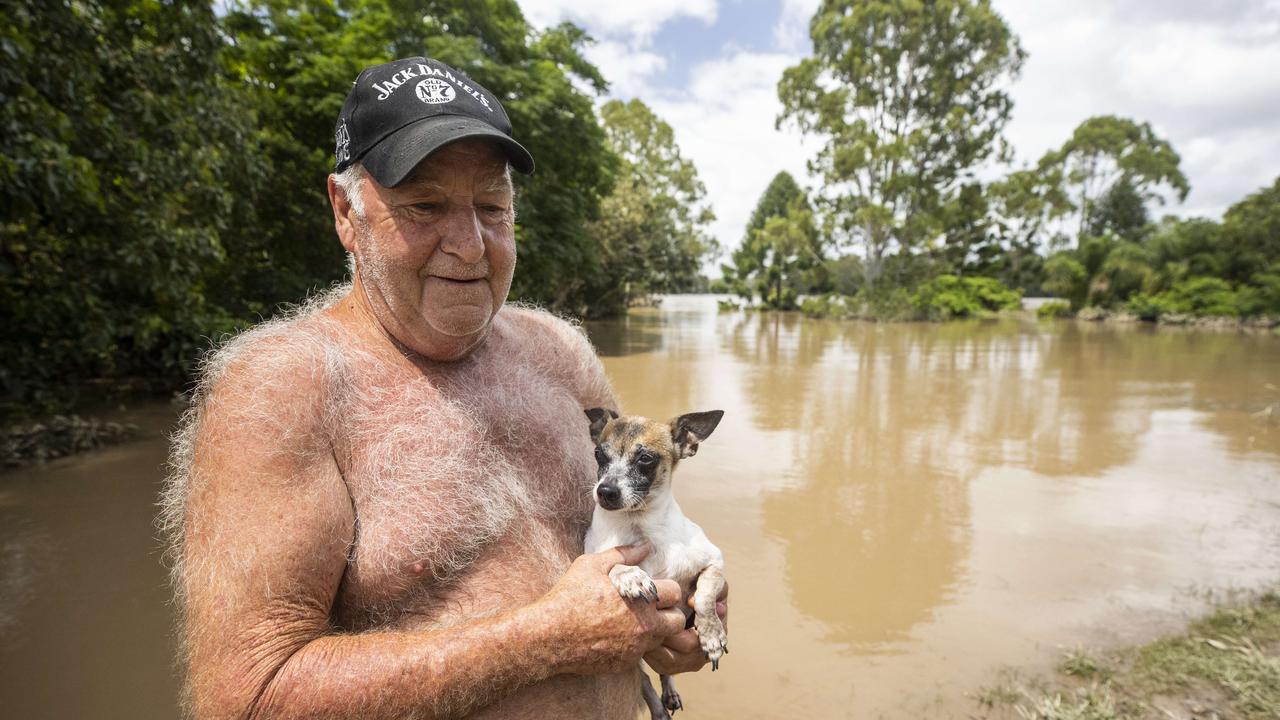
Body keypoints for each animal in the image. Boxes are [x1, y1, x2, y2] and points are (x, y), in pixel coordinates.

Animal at [583, 407, 727, 712]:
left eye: (645, 459)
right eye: (599, 454)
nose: (605, 491)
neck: (640, 525)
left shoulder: (714, 561)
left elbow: (706, 596)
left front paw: (712, 635)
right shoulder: (592, 555)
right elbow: (614, 562)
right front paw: (631, 575)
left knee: (665, 672)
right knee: (646, 681)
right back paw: (659, 710)